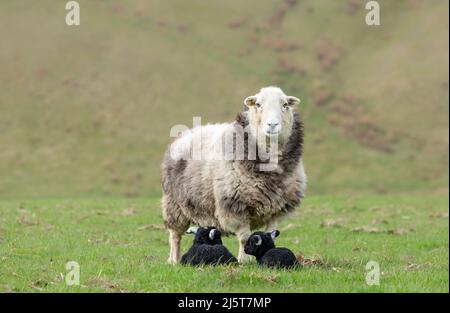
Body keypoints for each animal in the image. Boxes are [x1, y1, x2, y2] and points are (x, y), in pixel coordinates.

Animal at [161, 86, 306, 264]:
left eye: (285, 105)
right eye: (258, 104)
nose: (272, 124)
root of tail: (190, 131)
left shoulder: (276, 210)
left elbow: (271, 233)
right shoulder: (235, 205)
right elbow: (244, 237)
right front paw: (244, 260)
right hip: (174, 205)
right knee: (175, 236)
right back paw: (174, 260)